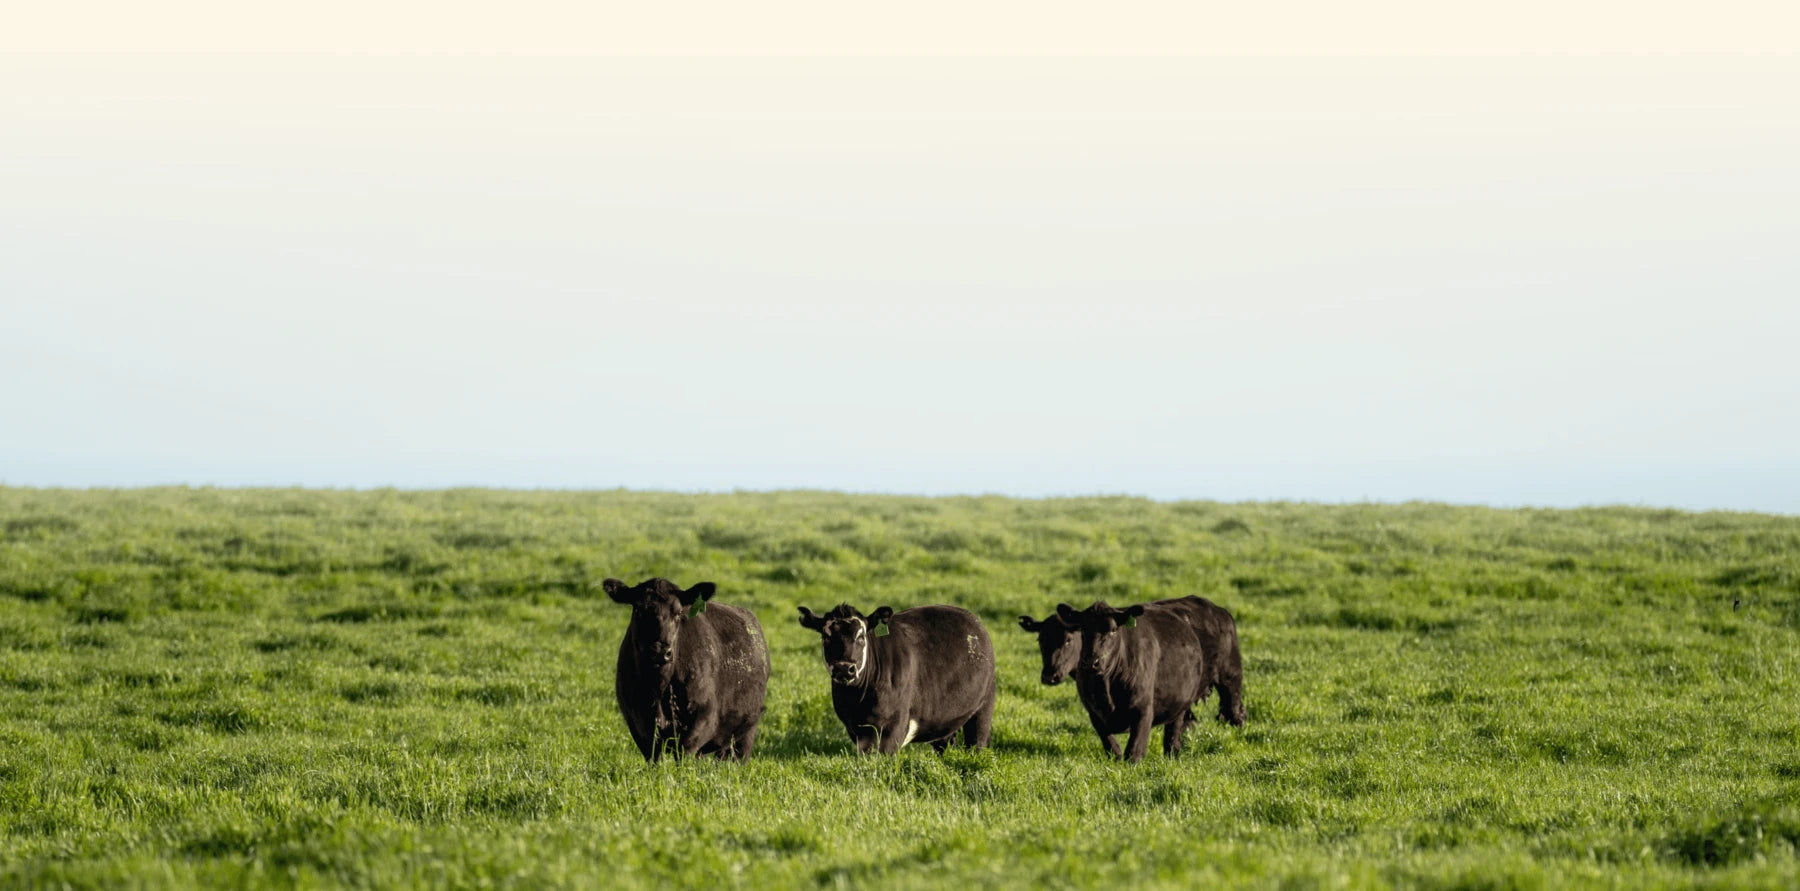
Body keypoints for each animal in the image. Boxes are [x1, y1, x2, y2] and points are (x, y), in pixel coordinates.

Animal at [604, 577, 769, 761]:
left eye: (677, 613)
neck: (659, 687)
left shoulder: (704, 716)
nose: (660, 652)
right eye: (639, 610)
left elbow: (684, 751)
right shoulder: (637, 721)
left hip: (747, 731)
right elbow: (654, 757)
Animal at [796, 603, 996, 755]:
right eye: (826, 636)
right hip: (943, 718)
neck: (857, 701)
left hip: (983, 707)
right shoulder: (856, 730)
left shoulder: (894, 726)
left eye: (861, 636)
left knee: (977, 743)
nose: (844, 668)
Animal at [1018, 595, 1246, 726]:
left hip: (1230, 679)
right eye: (1040, 639)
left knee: (1236, 713)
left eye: (1068, 640)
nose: (1049, 675)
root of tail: (1220, 611)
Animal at [1055, 600, 1217, 762]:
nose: (1091, 662)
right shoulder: (1094, 713)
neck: (1106, 688)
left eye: (1113, 630)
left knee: (1173, 732)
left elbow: (1134, 749)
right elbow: (1110, 743)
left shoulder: (1143, 708)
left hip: (1181, 703)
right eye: (1083, 630)